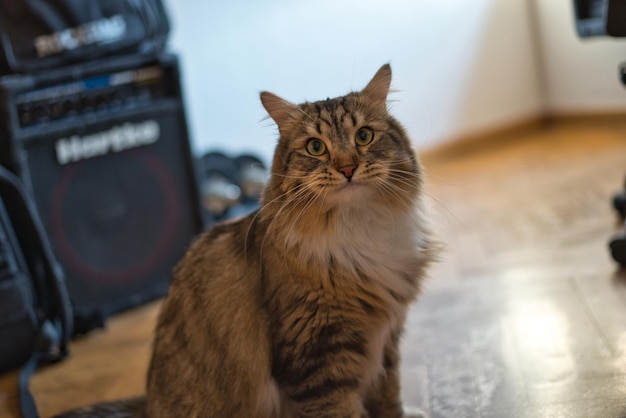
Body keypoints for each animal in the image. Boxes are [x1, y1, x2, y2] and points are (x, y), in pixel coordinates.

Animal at [54, 62, 434, 418]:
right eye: (315, 147)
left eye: (364, 136)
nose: (347, 168)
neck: (358, 228)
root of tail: (148, 405)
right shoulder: (316, 355)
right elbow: (341, 408)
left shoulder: (386, 338)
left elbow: (388, 395)